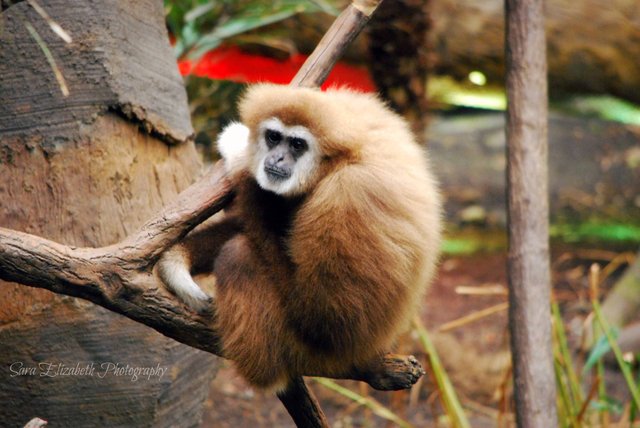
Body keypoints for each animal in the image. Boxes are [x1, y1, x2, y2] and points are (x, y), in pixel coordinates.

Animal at [158, 84, 442, 392]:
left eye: (297, 144)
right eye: (273, 137)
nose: (277, 158)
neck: (341, 159)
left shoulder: (348, 198)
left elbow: (325, 319)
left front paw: (239, 154)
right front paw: (175, 262)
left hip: (308, 352)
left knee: (239, 255)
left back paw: (265, 373)